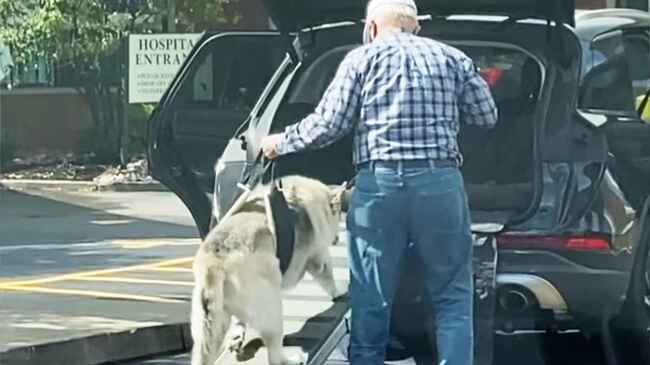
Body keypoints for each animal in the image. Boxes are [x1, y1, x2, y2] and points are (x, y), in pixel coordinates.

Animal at [190, 175, 346, 362]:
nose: (337, 238)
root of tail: (215, 263)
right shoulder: (319, 257)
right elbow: (327, 276)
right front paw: (339, 292)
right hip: (272, 309)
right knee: (275, 354)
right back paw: (293, 360)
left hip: (209, 325)